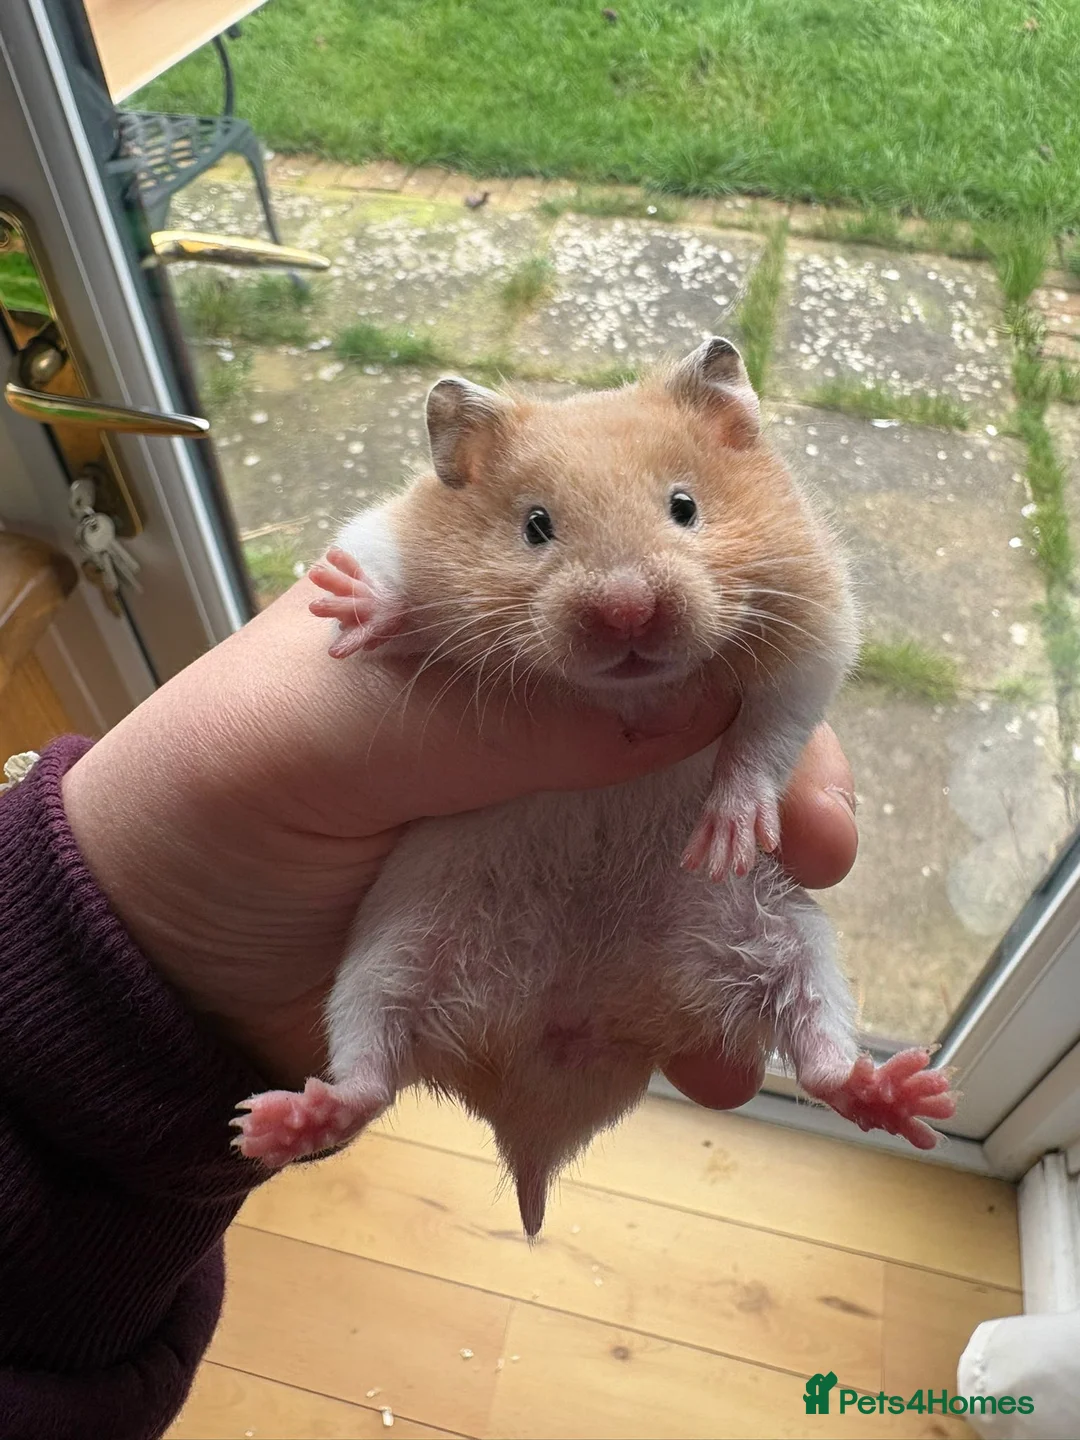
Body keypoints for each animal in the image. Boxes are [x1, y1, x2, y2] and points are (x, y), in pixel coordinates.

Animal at [232, 337, 957, 1235]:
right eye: (535, 526)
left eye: (684, 506)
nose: (627, 612)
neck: (625, 693)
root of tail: (552, 1086)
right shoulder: (379, 533)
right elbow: (396, 594)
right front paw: (357, 604)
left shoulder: (814, 625)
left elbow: (767, 735)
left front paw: (726, 836)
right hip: (383, 966)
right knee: (367, 1080)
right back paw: (269, 1125)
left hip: (790, 942)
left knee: (823, 1061)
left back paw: (912, 1094)